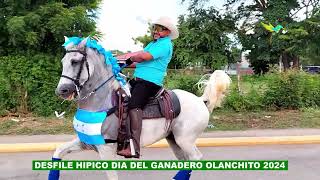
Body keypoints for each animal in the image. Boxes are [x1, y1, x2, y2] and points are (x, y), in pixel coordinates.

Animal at [52, 37, 232, 179]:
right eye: (63, 62)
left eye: (75, 61)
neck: (102, 103)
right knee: (185, 161)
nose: (62, 90)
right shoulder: (85, 142)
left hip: (185, 140)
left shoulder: (106, 149)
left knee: (195, 158)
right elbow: (58, 152)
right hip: (174, 140)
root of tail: (200, 101)